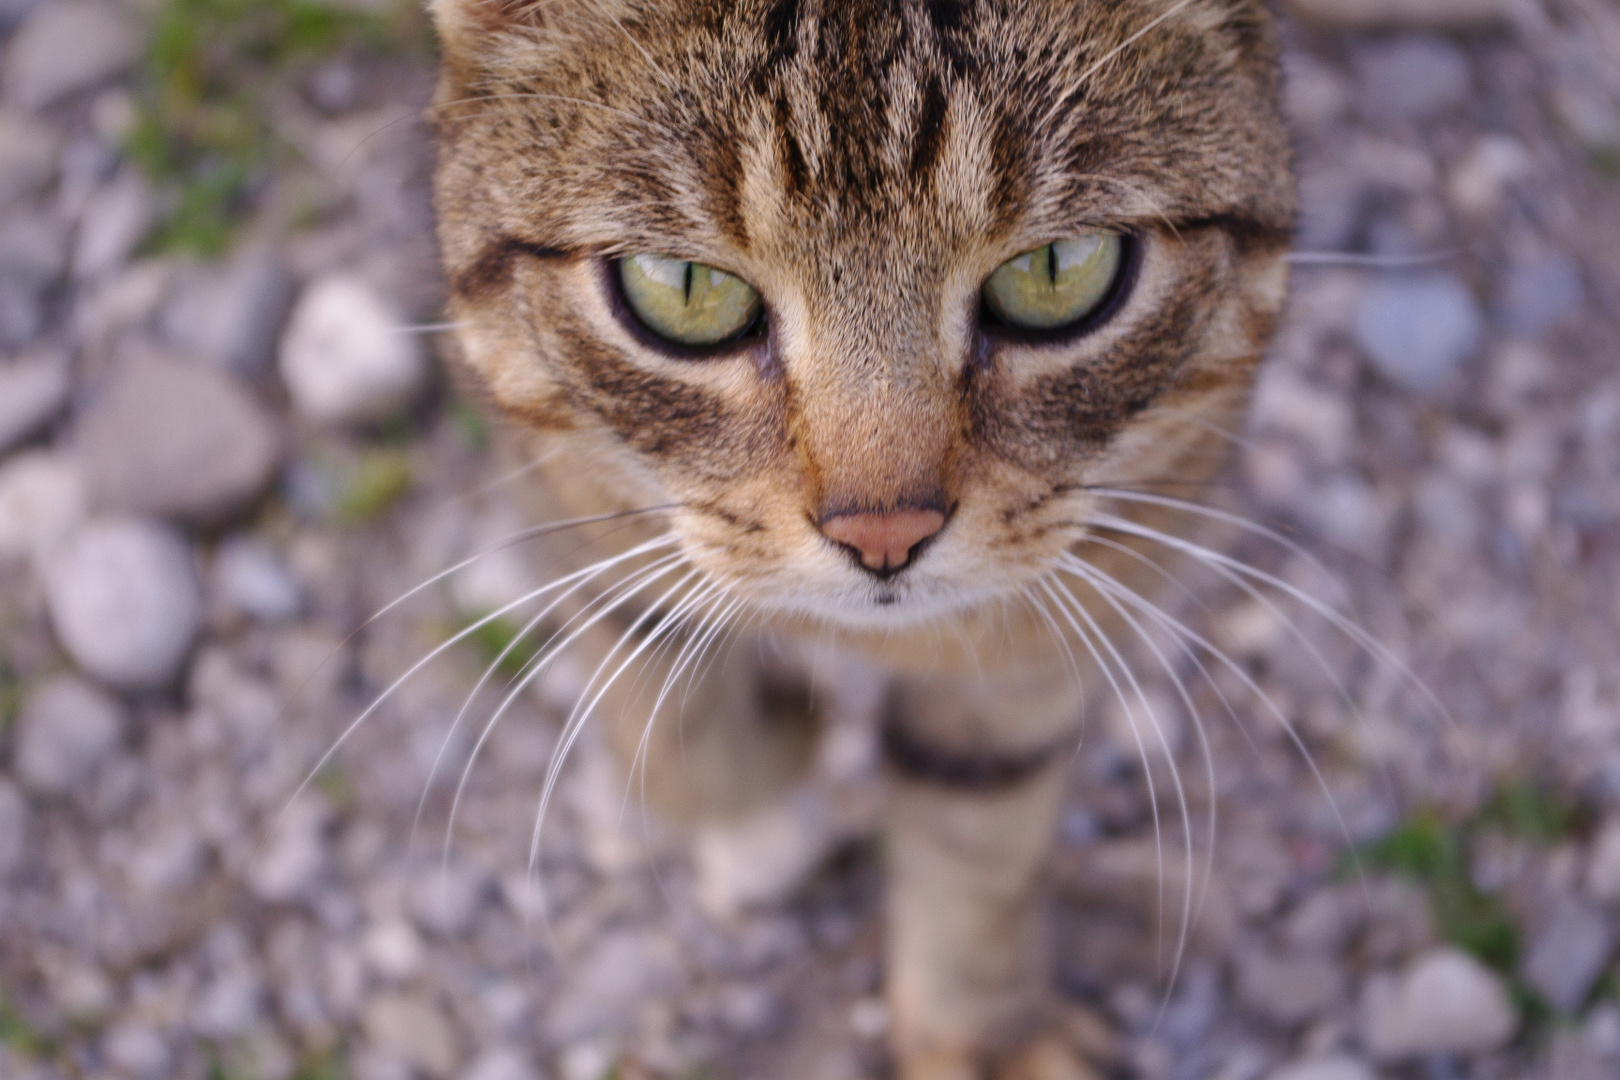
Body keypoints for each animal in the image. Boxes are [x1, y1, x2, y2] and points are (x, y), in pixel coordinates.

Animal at [427, 2, 1289, 1075]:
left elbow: (980, 844)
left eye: (1059, 271)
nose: (886, 529)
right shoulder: (571, 485)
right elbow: (670, 725)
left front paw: (978, 1036)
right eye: (683, 288)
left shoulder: (1069, 599)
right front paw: (768, 783)